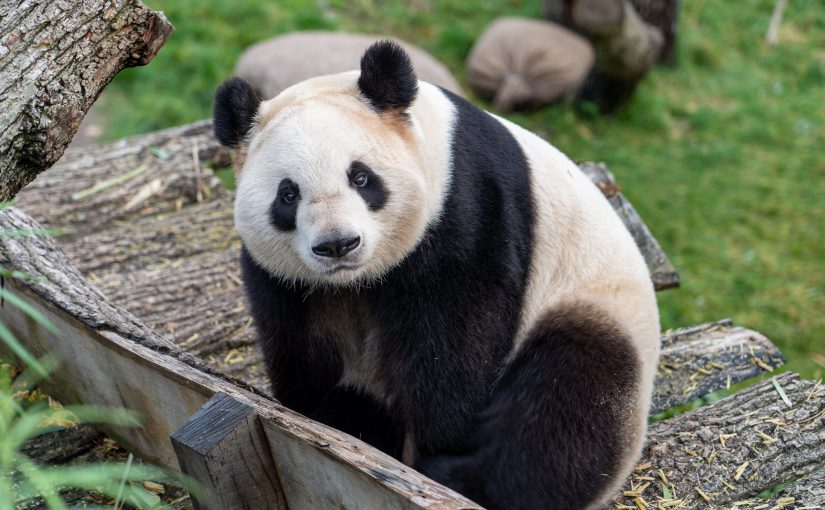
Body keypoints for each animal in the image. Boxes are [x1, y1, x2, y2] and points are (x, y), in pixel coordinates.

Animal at [214, 41, 660, 510]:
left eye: (360, 177)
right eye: (288, 194)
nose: (337, 244)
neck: (357, 281)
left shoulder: (465, 207)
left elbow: (454, 339)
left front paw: (433, 444)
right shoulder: (286, 279)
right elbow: (303, 344)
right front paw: (330, 418)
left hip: (593, 306)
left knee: (565, 403)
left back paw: (462, 477)